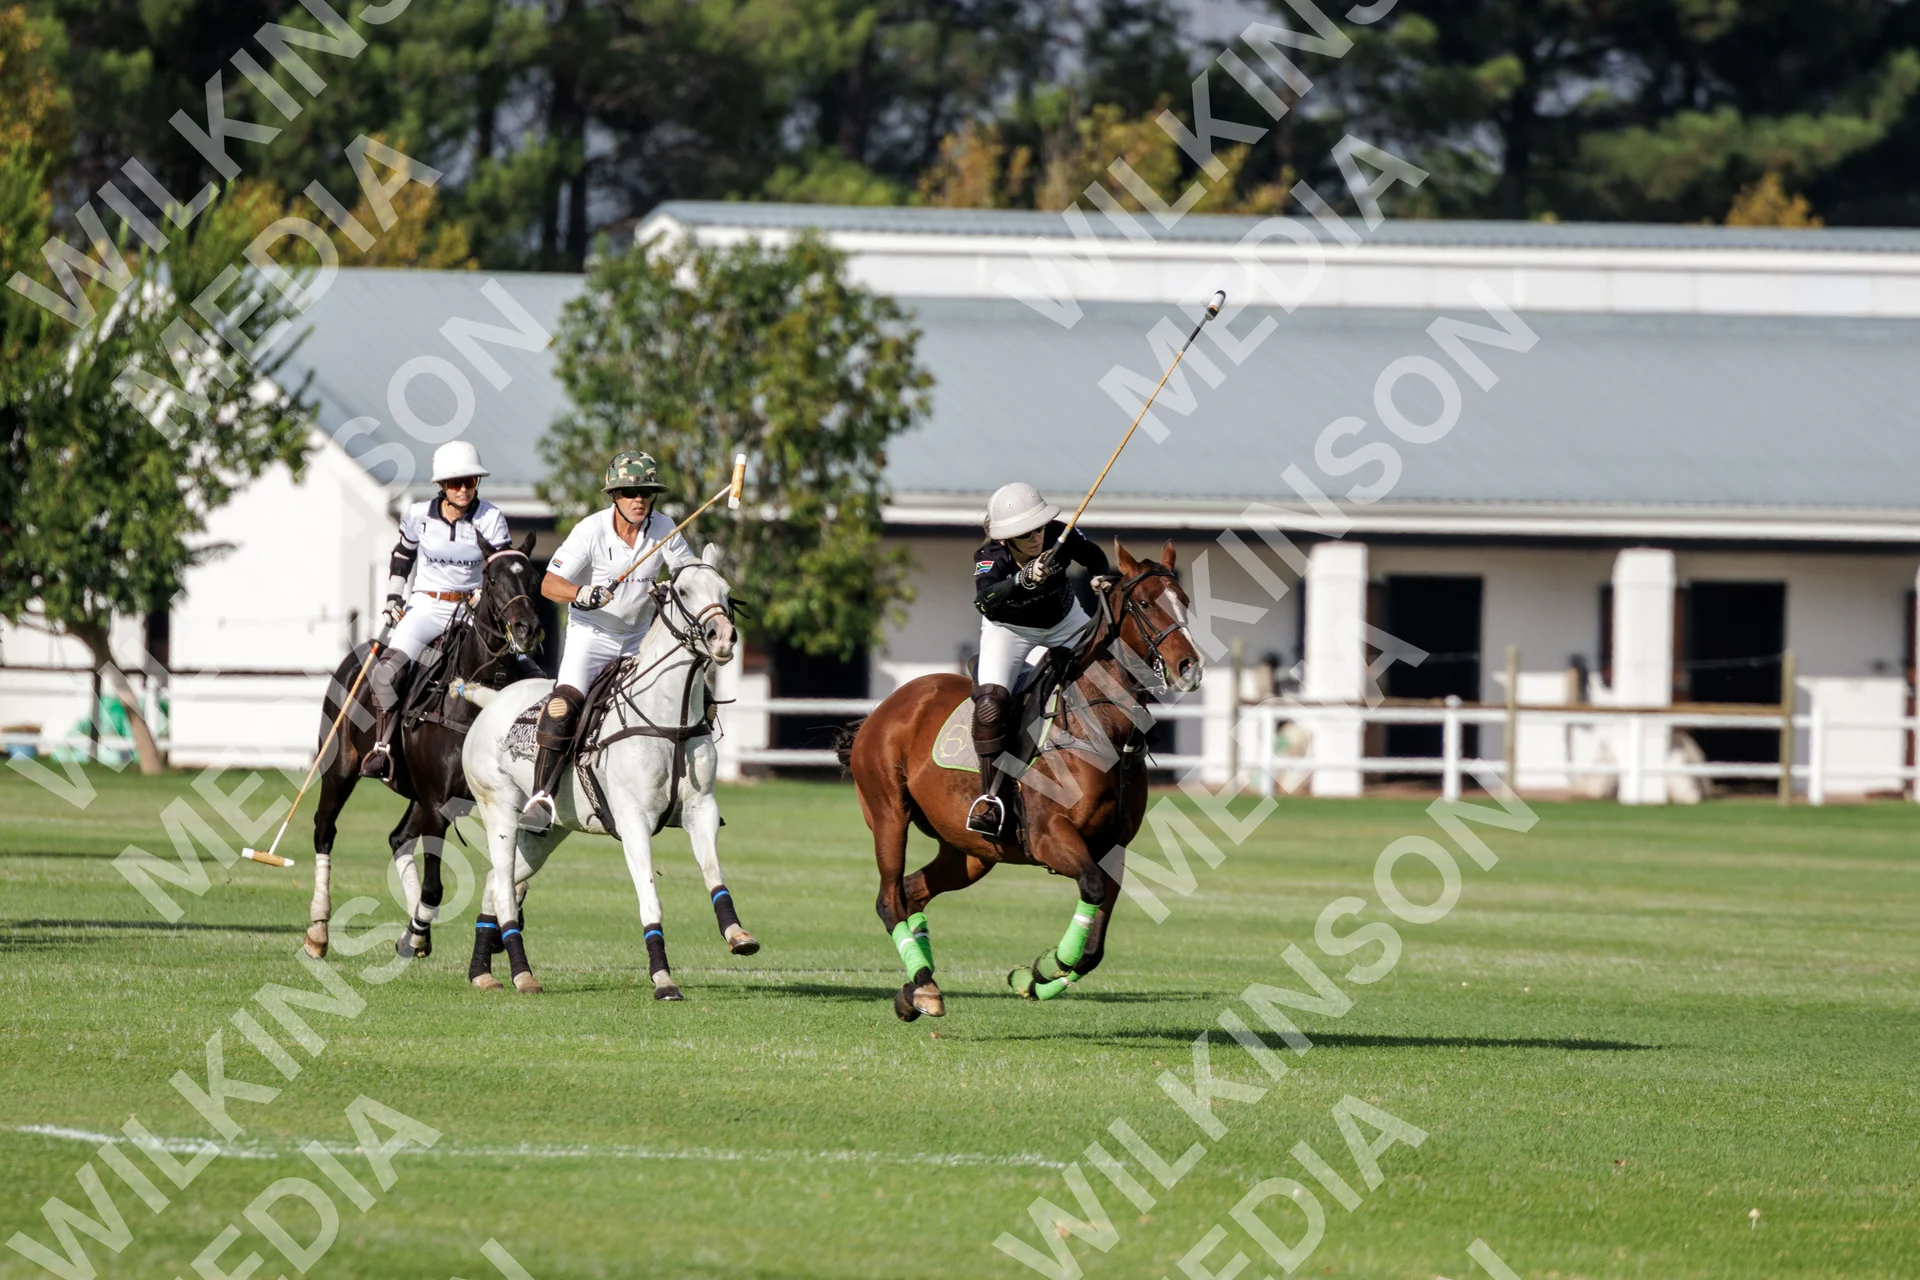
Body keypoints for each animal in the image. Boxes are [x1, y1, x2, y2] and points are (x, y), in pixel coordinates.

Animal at [303, 533, 544, 963]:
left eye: (535, 579)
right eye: (493, 579)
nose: (527, 629)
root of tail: (357, 655)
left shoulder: (491, 801)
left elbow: (514, 876)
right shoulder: (439, 803)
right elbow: (436, 886)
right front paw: (418, 932)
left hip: (416, 793)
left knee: (398, 837)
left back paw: (415, 932)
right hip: (340, 768)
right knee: (324, 828)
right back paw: (319, 930)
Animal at [459, 548, 757, 997]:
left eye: (725, 590)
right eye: (684, 590)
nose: (722, 637)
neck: (667, 719)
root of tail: (491, 701)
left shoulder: (702, 809)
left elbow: (713, 873)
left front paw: (738, 935)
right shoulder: (633, 819)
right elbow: (650, 897)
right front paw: (663, 978)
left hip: (546, 832)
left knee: (496, 882)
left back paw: (482, 971)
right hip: (499, 809)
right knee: (506, 887)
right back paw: (522, 974)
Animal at [839, 542, 1203, 1022]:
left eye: (1185, 600)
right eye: (1144, 604)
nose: (1190, 667)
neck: (1099, 728)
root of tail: (883, 710)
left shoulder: (1114, 847)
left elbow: (1094, 948)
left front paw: (1034, 978)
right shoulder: (1050, 835)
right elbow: (1089, 889)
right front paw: (1047, 965)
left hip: (970, 852)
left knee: (913, 892)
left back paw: (916, 989)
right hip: (889, 815)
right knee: (889, 899)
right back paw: (923, 984)